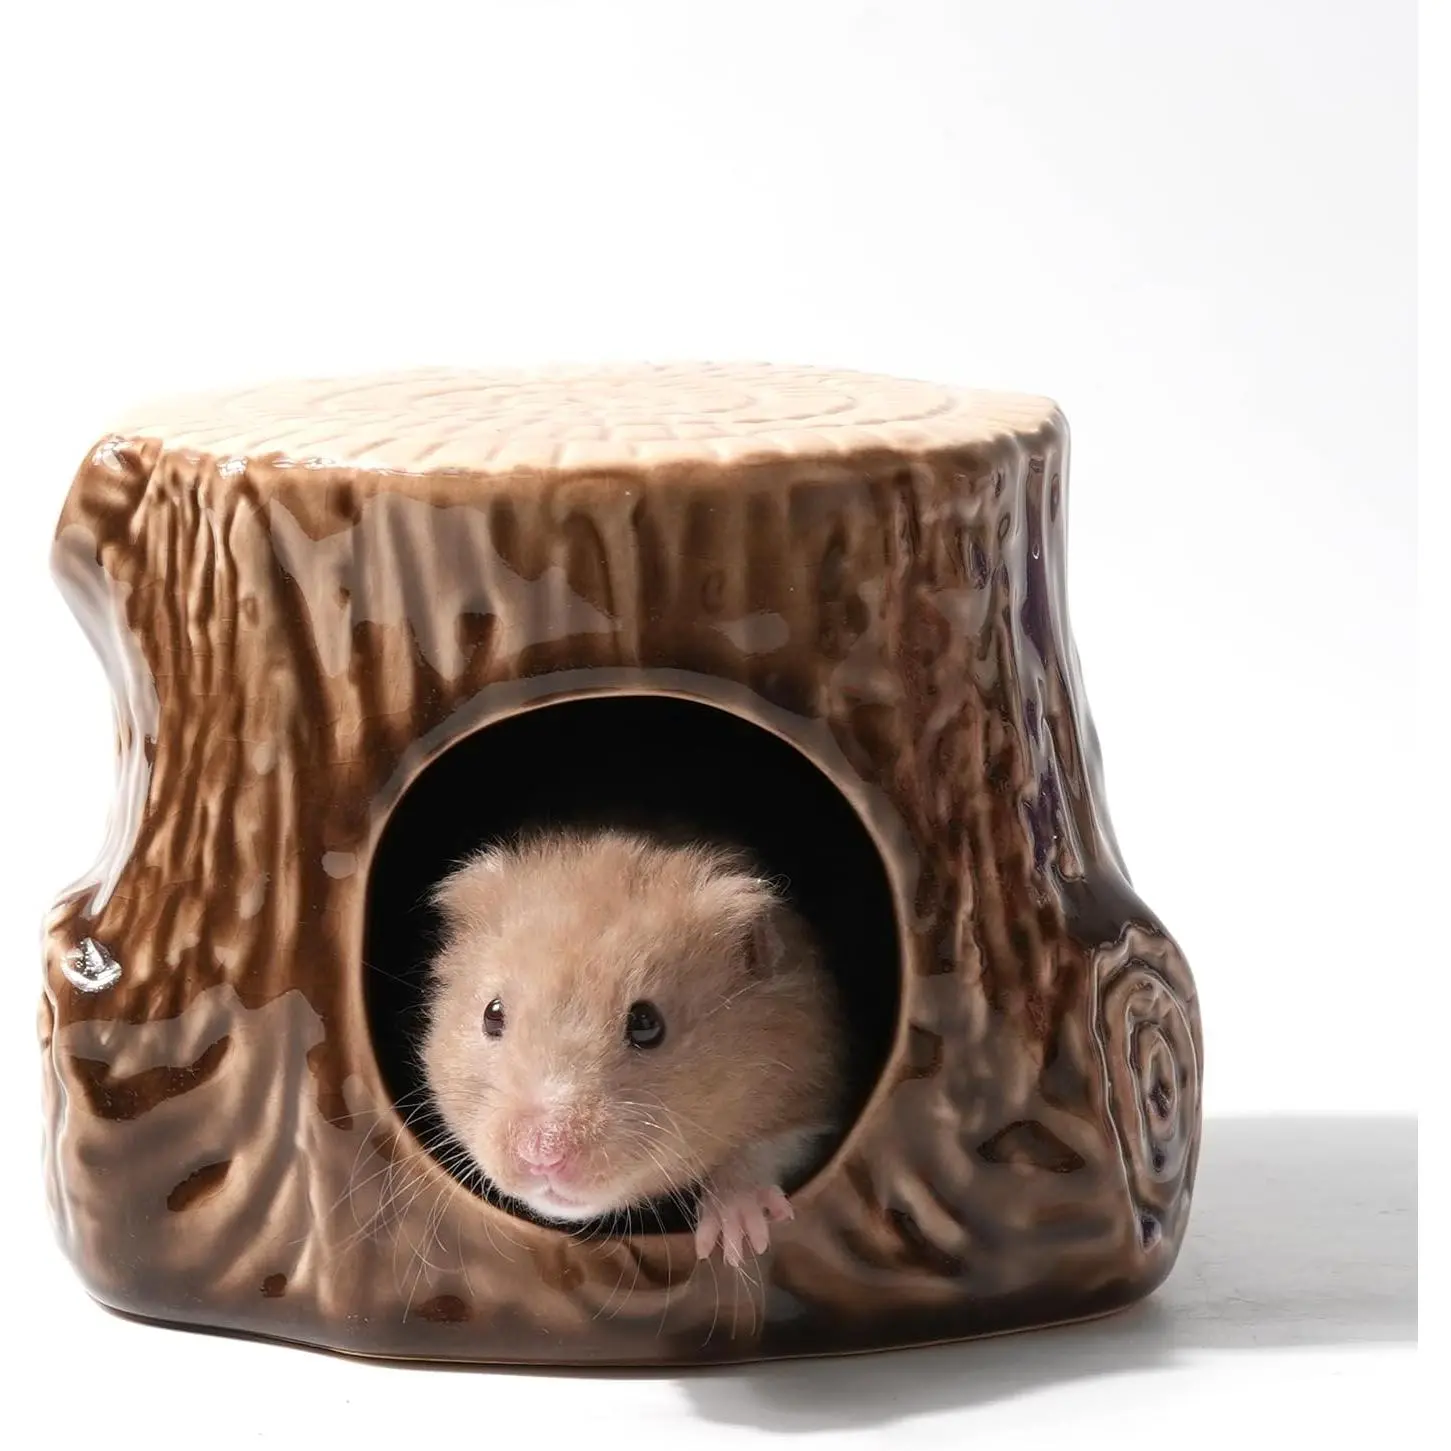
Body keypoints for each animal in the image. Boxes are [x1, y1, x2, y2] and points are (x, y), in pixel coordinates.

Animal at [420, 826, 845, 1267]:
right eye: (492, 1014)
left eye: (646, 1024)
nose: (542, 1154)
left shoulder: (811, 1083)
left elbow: (767, 1147)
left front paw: (738, 1242)